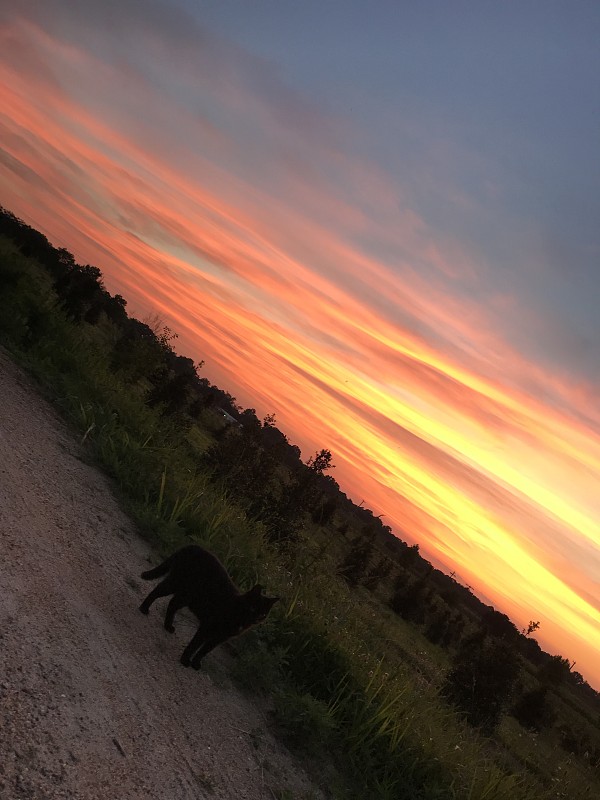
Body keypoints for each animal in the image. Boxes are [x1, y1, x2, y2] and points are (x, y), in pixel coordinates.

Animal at [139, 544, 278, 668]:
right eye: (253, 608)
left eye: (263, 614)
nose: (256, 619)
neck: (237, 611)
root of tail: (193, 546)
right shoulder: (206, 627)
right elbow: (194, 646)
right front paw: (185, 661)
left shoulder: (219, 638)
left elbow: (203, 651)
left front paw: (196, 664)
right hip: (176, 583)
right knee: (157, 591)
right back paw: (144, 609)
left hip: (187, 595)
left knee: (172, 603)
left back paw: (168, 626)